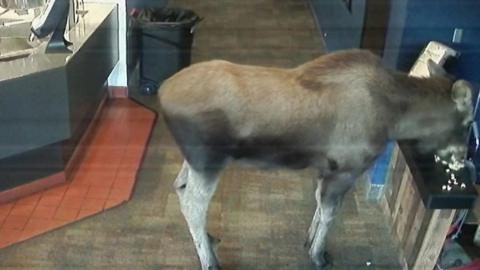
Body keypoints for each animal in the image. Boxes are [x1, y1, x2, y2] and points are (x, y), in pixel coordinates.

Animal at [158, 49, 472, 270]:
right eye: (469, 122)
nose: (462, 157)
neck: (396, 119)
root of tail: (162, 94)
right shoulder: (345, 169)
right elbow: (330, 213)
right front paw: (318, 255)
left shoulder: (325, 168)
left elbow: (319, 206)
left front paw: (309, 240)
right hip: (208, 159)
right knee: (193, 204)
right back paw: (210, 261)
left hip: (195, 160)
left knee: (179, 186)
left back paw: (209, 240)